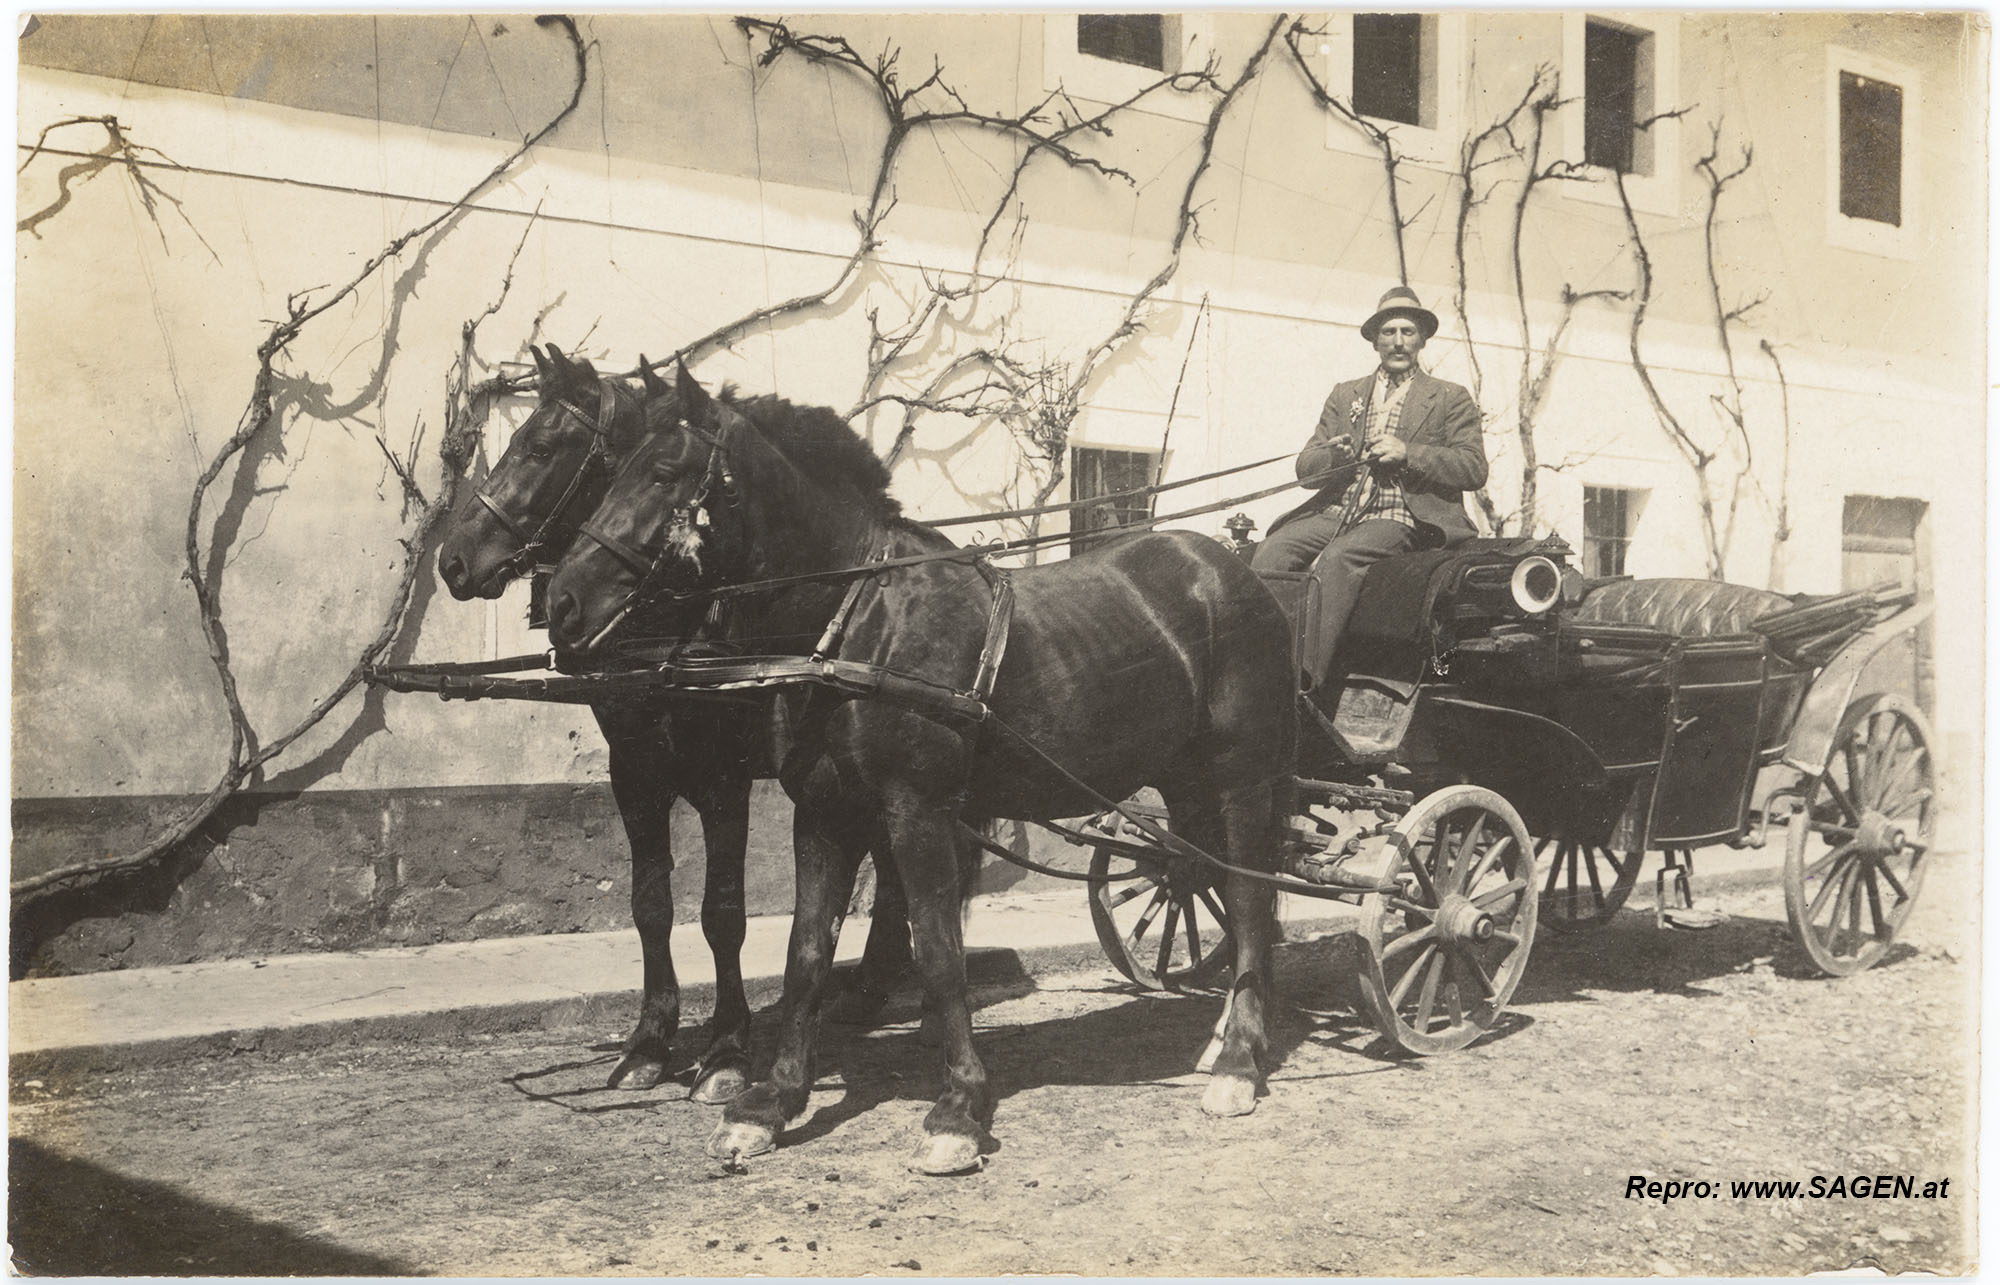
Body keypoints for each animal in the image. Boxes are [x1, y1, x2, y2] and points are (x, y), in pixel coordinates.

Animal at [438, 344, 916, 1096]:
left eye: (540, 446)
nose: (452, 560)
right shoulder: (635, 773)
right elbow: (650, 904)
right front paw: (650, 1041)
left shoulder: (722, 779)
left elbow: (722, 912)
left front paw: (726, 1049)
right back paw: (872, 983)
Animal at [544, 362, 1296, 1168]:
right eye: (611, 469)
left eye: (661, 472)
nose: (563, 601)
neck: (860, 620)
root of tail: (1228, 569)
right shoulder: (824, 813)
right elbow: (807, 952)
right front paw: (773, 1100)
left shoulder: (919, 810)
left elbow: (938, 950)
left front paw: (959, 1106)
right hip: (1184, 782)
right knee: (1203, 880)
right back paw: (1226, 1036)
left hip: (1241, 777)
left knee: (1249, 897)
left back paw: (1238, 1062)